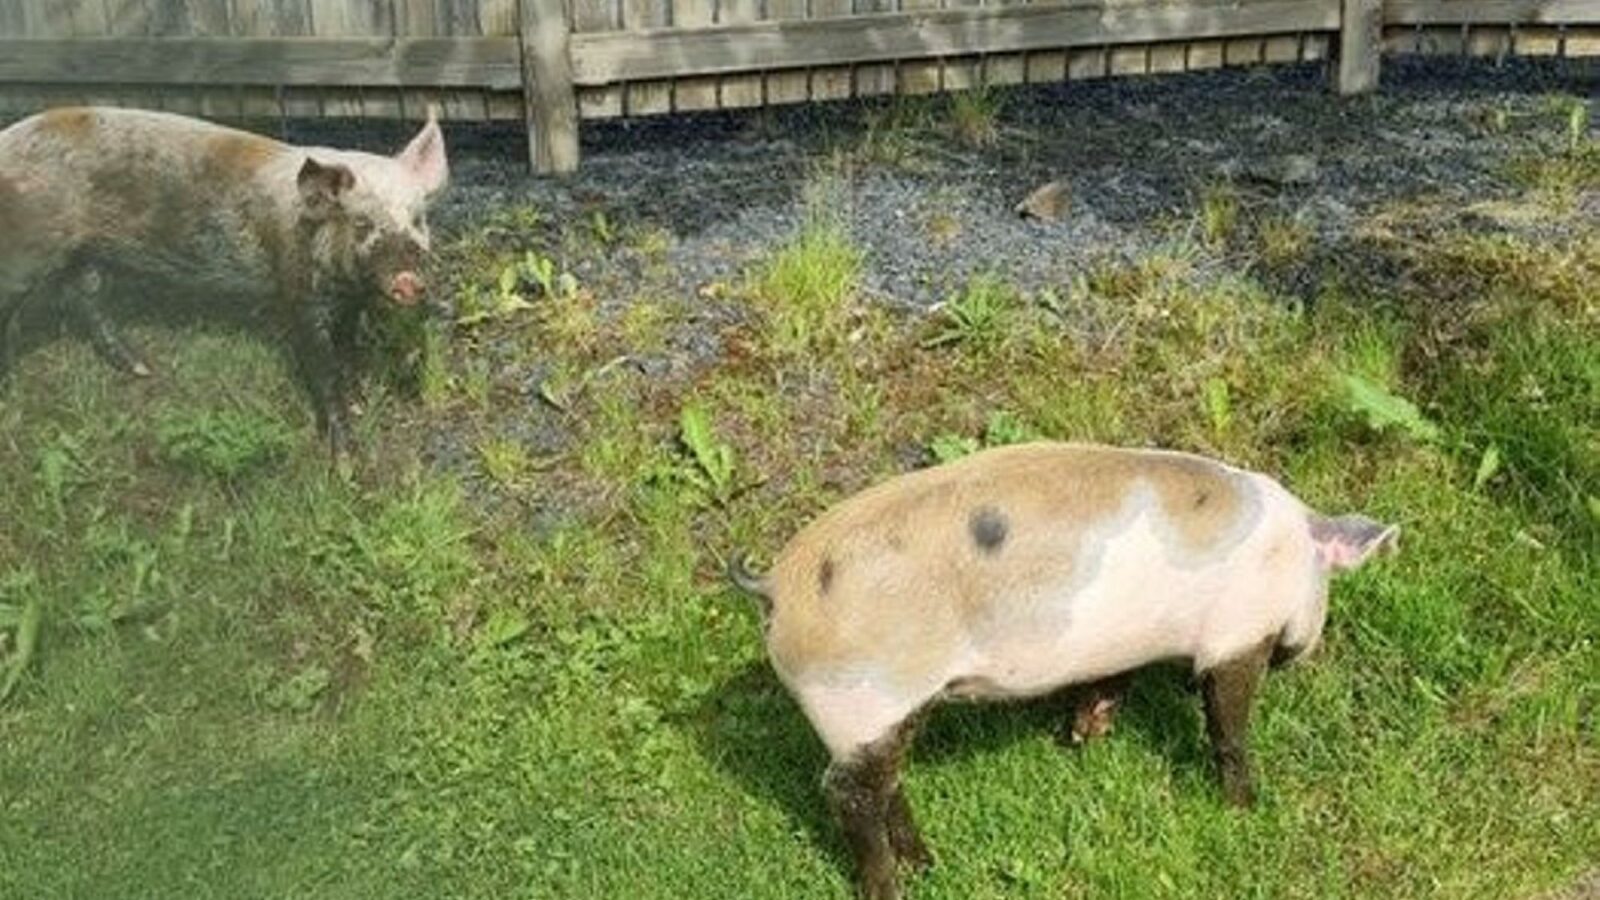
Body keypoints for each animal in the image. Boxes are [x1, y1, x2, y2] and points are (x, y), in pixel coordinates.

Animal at [0, 106, 449, 455]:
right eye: (361, 224)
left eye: (417, 220)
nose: (409, 281)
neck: (344, 285)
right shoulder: (295, 291)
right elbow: (320, 366)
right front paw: (345, 463)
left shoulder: (348, 304)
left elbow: (347, 353)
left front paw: (358, 401)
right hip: (26, 256)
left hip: (86, 252)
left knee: (83, 296)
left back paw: (143, 368)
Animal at [730, 442, 1398, 900]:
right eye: (1326, 584)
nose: (1300, 653)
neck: (1292, 548)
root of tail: (777, 586)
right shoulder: (1237, 634)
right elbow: (1228, 727)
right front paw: (1243, 808)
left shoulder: (1121, 647)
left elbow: (1109, 683)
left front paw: (1083, 734)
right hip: (863, 698)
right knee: (848, 792)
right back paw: (894, 886)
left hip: (878, 713)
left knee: (884, 783)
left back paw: (928, 864)